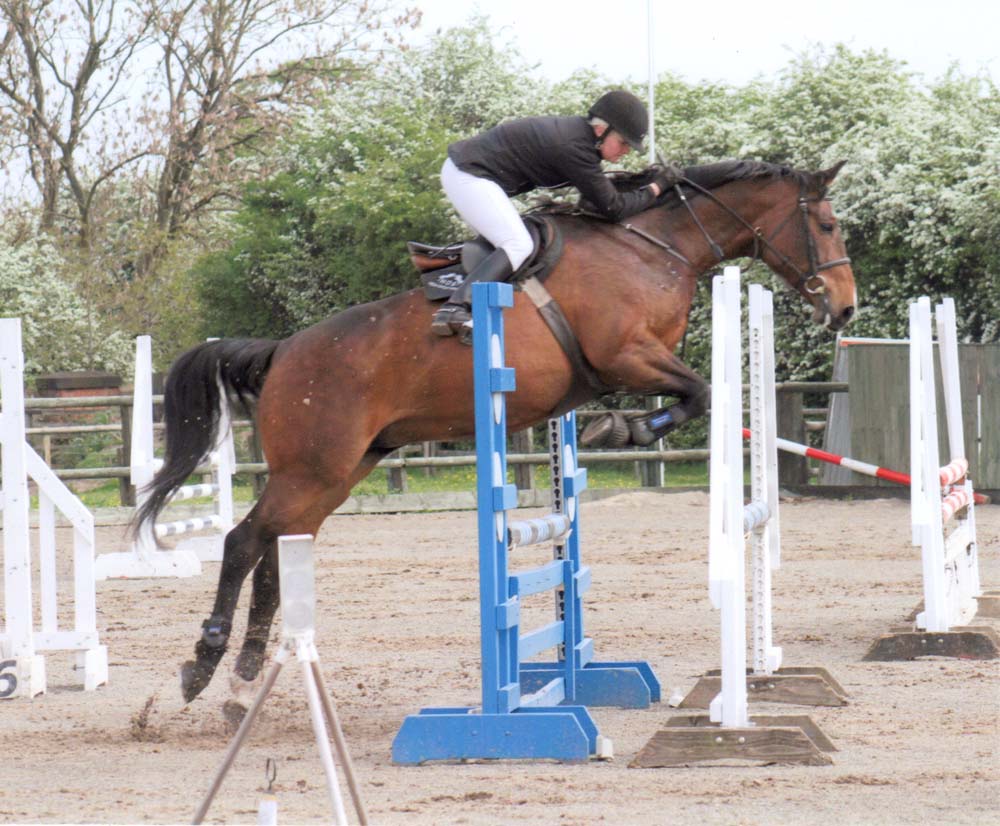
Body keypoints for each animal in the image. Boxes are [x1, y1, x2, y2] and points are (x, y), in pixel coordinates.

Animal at [136, 159, 856, 707]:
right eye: (826, 224)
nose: (844, 308)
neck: (654, 248)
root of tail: (283, 351)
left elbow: (690, 394)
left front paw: (617, 426)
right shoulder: (625, 353)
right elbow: (698, 392)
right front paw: (623, 429)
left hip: (338, 473)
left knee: (274, 556)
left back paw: (243, 680)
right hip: (312, 469)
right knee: (241, 543)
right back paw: (204, 664)